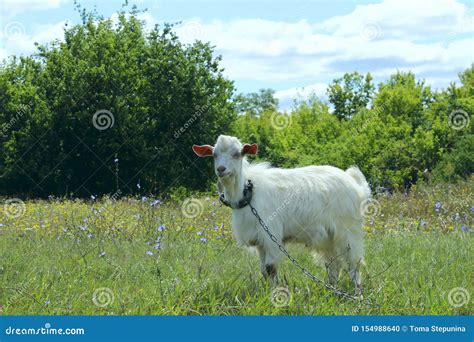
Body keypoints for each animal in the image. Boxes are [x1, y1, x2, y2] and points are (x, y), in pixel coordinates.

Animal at [193, 135, 370, 290]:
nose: (221, 169)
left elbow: (270, 268)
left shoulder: (271, 235)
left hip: (348, 231)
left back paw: (357, 293)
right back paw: (332, 288)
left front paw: (275, 293)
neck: (248, 194)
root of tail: (353, 181)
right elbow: (263, 270)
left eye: (237, 154)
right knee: (334, 263)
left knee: (354, 263)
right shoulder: (259, 241)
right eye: (214, 154)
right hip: (328, 237)